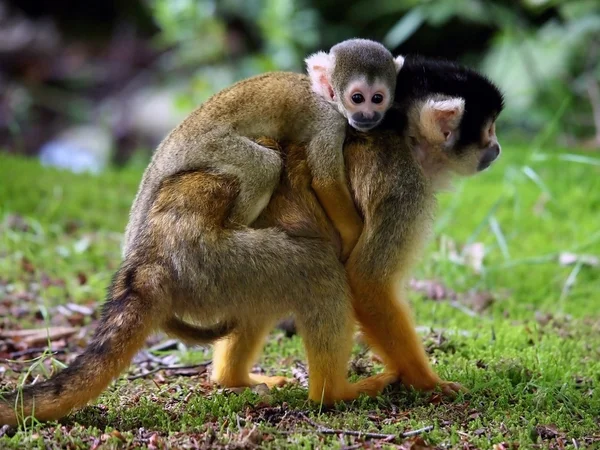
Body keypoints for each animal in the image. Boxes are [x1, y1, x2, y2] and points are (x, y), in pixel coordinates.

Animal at [126, 40, 404, 262]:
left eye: (377, 99)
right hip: (210, 145)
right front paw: (354, 236)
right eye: (357, 98)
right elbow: (326, 182)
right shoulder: (329, 123)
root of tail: (176, 137)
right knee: (265, 165)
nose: (367, 116)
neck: (327, 99)